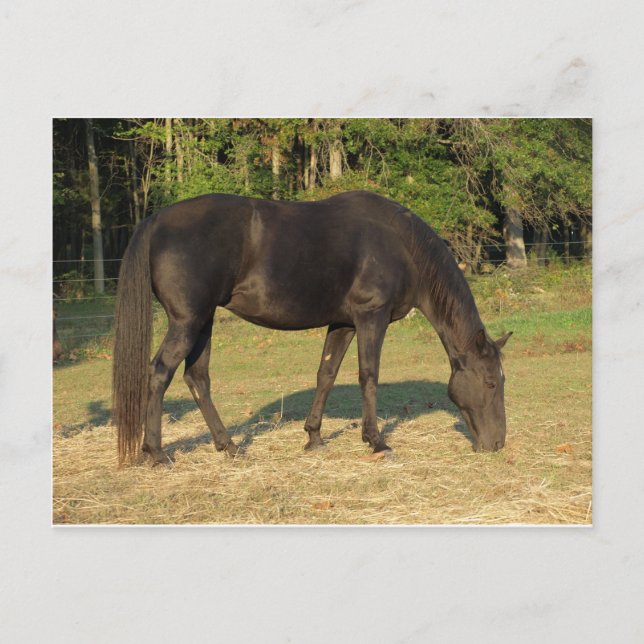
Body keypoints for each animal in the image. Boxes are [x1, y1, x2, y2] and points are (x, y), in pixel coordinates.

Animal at [112, 190, 511, 465]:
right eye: (491, 382)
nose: (497, 444)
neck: (401, 244)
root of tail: (155, 221)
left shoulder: (343, 323)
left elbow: (327, 374)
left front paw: (314, 437)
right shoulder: (372, 317)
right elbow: (368, 376)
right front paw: (377, 441)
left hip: (203, 322)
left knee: (197, 379)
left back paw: (229, 446)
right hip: (188, 322)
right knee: (159, 373)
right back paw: (156, 452)